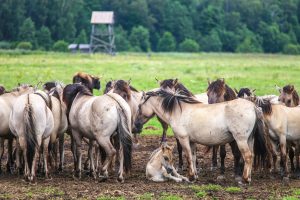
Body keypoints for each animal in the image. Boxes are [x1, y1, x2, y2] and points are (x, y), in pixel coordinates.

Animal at [135, 87, 272, 183]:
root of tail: (253, 107)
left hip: (241, 140)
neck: (179, 111)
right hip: (249, 139)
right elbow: (193, 157)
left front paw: (190, 177)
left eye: (140, 106)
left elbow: (188, 156)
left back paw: (244, 180)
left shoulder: (184, 139)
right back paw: (248, 178)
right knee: (252, 155)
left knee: (247, 156)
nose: (136, 126)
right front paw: (195, 176)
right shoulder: (191, 141)